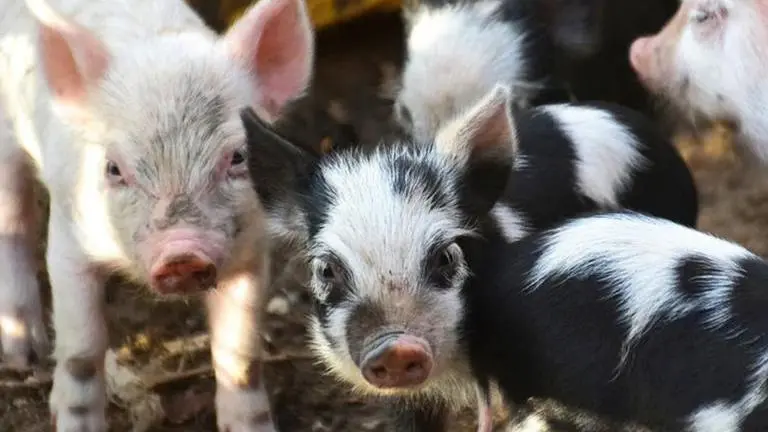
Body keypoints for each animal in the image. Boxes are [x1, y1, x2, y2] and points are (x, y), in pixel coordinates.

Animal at [0, 0, 314, 429]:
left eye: (238, 157)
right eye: (114, 168)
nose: (181, 253)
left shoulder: (252, 251)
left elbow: (240, 356)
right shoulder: (70, 237)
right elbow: (83, 352)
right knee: (12, 221)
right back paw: (22, 356)